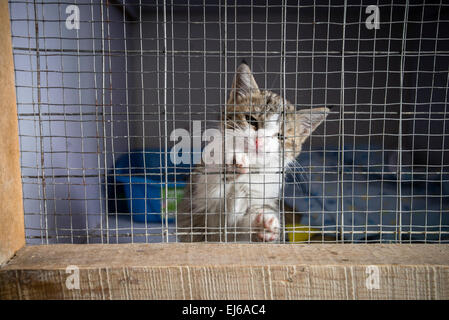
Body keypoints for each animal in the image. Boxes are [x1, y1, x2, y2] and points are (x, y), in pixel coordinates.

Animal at [177, 62, 328, 242]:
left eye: (281, 136)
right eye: (251, 120)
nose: (259, 141)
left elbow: (243, 225)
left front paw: (264, 225)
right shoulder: (199, 197)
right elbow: (208, 193)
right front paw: (231, 163)